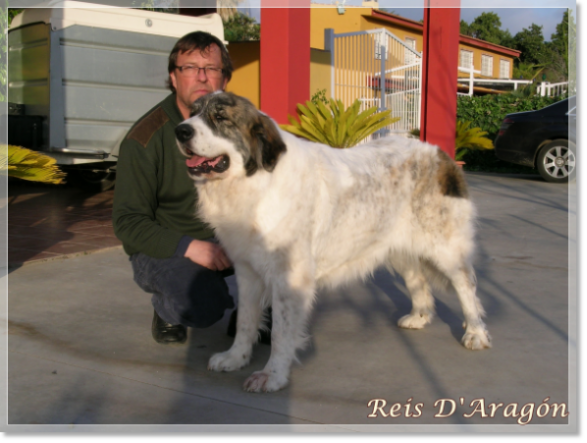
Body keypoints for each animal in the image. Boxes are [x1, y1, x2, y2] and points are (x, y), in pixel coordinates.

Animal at [175, 92, 492, 394]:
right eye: (192, 112)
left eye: (220, 117)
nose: (180, 130)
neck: (254, 183)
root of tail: (440, 154)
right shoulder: (247, 271)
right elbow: (245, 320)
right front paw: (235, 358)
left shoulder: (289, 277)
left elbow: (280, 332)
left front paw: (273, 376)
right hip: (398, 248)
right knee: (419, 281)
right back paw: (419, 317)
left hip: (446, 249)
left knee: (467, 287)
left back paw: (475, 333)